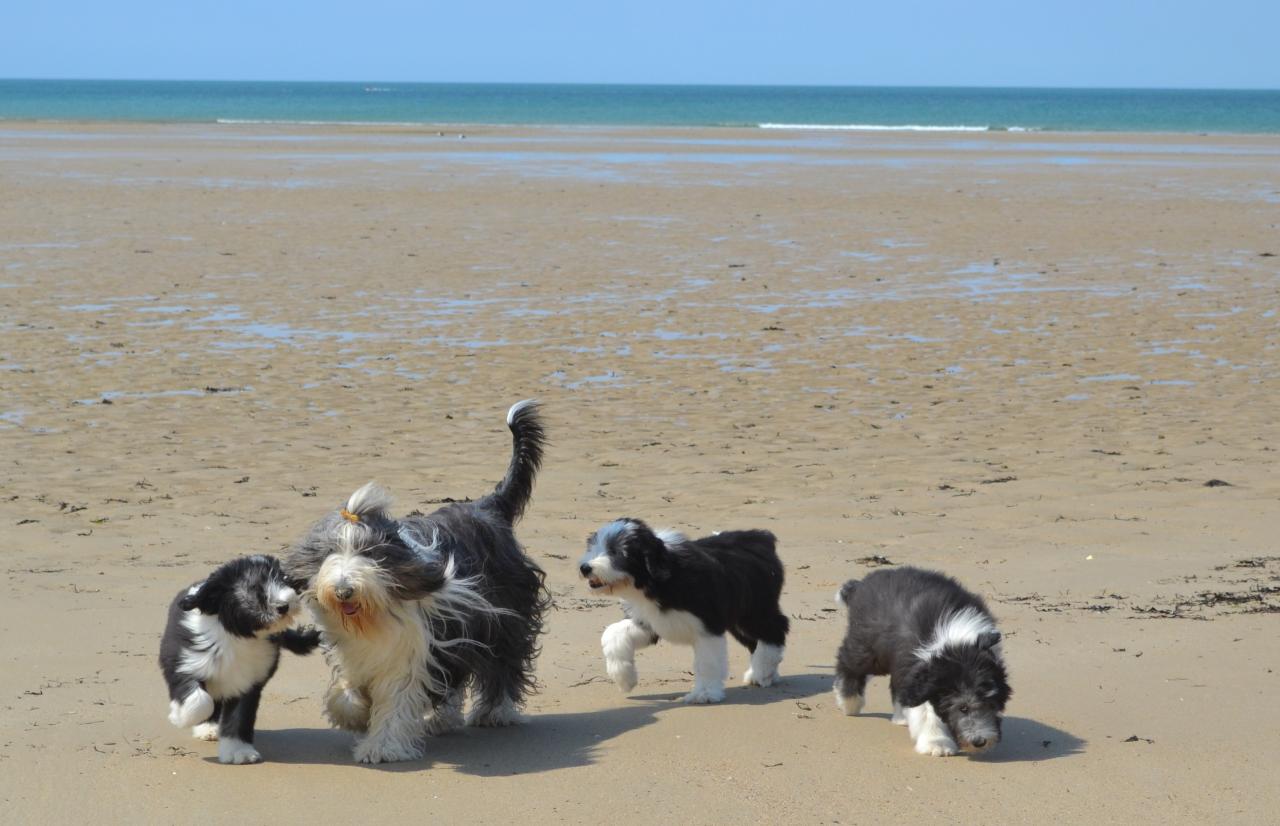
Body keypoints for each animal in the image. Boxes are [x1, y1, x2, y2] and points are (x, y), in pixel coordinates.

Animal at [156, 553, 318, 768]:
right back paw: (206, 727)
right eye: (255, 587)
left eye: (284, 580)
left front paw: (238, 751)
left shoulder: (248, 682)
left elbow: (239, 717)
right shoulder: (183, 663)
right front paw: (180, 717)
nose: (284, 605)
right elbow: (200, 701)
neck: (237, 635)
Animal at [282, 396, 547, 758]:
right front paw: (355, 715)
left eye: (369, 553)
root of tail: (487, 507)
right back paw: (443, 718)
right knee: (454, 676)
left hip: (502, 616)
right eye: (329, 552)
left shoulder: (410, 647)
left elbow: (397, 696)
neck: (372, 616)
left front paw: (381, 747)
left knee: (502, 662)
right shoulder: (354, 649)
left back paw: (495, 712)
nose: (343, 590)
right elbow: (347, 689)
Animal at [581, 514, 788, 701]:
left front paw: (704, 694)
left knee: (775, 630)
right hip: (738, 619)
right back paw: (764, 673)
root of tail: (760, 536)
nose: (585, 568)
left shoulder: (707, 626)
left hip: (754, 611)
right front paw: (623, 677)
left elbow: (706, 662)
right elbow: (613, 633)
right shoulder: (648, 621)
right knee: (756, 641)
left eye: (616, 552)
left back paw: (762, 671)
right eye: (593, 546)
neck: (661, 579)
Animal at [834, 566, 1013, 753]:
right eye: (963, 708)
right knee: (848, 664)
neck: (958, 646)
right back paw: (849, 703)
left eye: (991, 704)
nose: (980, 741)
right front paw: (937, 743)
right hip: (868, 648)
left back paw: (900, 716)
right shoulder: (924, 673)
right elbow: (926, 711)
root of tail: (860, 584)